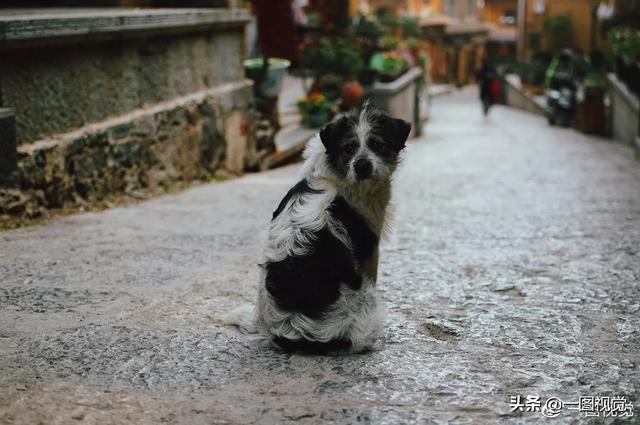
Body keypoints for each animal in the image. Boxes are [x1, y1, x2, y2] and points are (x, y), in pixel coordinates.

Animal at [230, 104, 410, 352]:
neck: (335, 174)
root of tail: (298, 333)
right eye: (348, 147)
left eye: (377, 144)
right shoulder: (369, 248)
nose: (362, 166)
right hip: (365, 301)